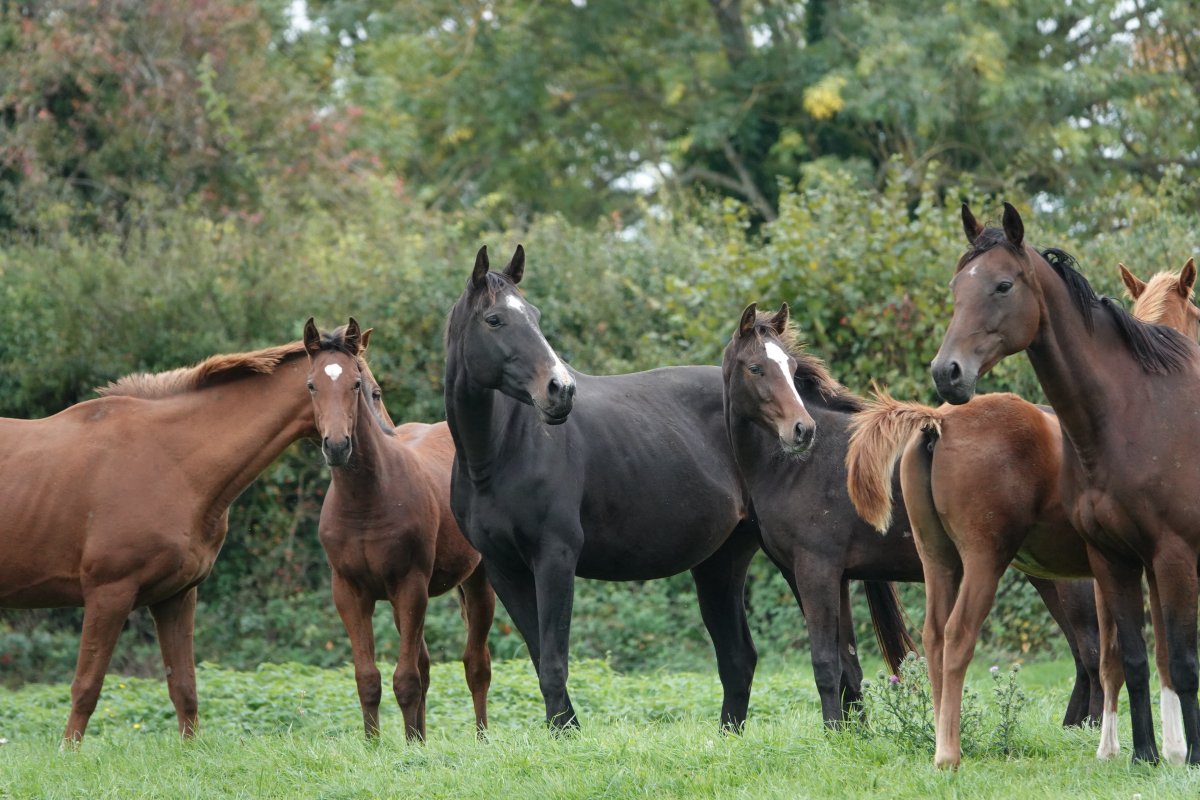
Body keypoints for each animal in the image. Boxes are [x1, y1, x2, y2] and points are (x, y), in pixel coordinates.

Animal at [0, 331, 328, 744]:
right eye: (365, 389)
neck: (173, 461)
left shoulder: (176, 596)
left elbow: (184, 686)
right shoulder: (109, 593)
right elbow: (87, 686)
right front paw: (67, 752)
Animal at [303, 318, 494, 741]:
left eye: (357, 384)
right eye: (311, 384)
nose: (337, 446)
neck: (366, 501)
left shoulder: (410, 585)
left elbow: (405, 678)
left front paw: (409, 746)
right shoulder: (350, 592)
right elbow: (368, 678)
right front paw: (379, 745)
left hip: (478, 581)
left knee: (476, 665)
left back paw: (481, 738)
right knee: (426, 666)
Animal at [443, 245, 762, 730]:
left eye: (535, 315)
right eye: (494, 320)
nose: (560, 390)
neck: (498, 452)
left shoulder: (555, 558)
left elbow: (554, 663)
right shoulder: (504, 568)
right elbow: (540, 657)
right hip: (720, 562)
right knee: (738, 659)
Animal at [724, 302, 1101, 732]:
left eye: (789, 367)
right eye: (756, 368)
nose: (801, 430)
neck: (797, 467)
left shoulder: (815, 572)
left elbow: (824, 663)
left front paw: (832, 732)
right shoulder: (835, 578)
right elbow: (849, 665)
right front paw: (854, 734)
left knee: (1093, 652)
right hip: (1046, 574)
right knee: (1083, 656)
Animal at [846, 258, 1199, 768]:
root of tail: (938, 420)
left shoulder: (1131, 566)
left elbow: (1135, 656)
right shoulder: (1140, 563)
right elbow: (1134, 656)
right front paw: (1152, 749)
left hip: (942, 561)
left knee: (935, 638)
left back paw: (940, 737)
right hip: (984, 562)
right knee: (958, 637)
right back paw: (948, 751)